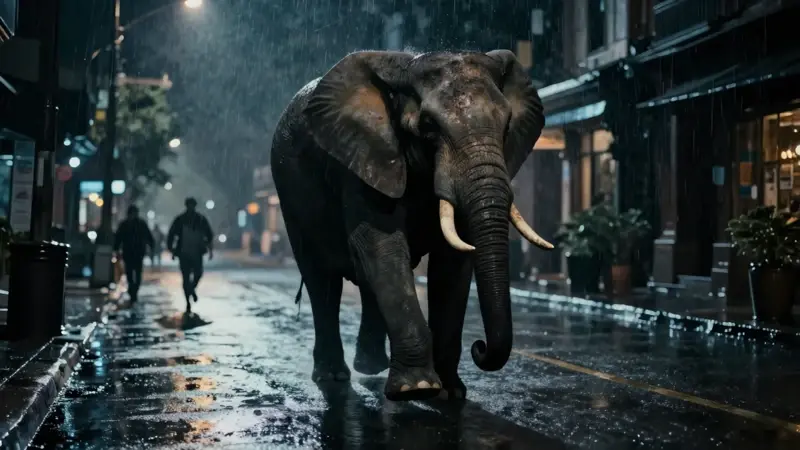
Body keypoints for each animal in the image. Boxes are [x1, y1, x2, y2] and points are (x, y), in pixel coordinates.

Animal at [270, 49, 553, 402]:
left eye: (507, 125)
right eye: (428, 126)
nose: (479, 347)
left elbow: (451, 264)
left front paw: (451, 392)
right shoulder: (363, 157)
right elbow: (381, 245)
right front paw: (415, 389)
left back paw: (371, 367)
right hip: (289, 193)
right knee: (321, 279)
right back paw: (333, 376)